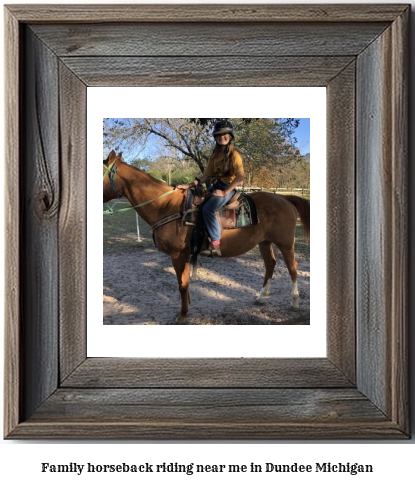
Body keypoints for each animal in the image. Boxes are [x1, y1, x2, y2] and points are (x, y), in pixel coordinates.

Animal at [104, 149, 310, 324]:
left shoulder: (178, 255)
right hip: (265, 242)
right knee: (270, 264)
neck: (166, 206)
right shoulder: (185, 255)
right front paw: (186, 308)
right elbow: (185, 283)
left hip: (285, 243)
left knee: (292, 268)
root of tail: (285, 199)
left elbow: (182, 284)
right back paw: (261, 297)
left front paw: (182, 315)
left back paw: (294, 302)